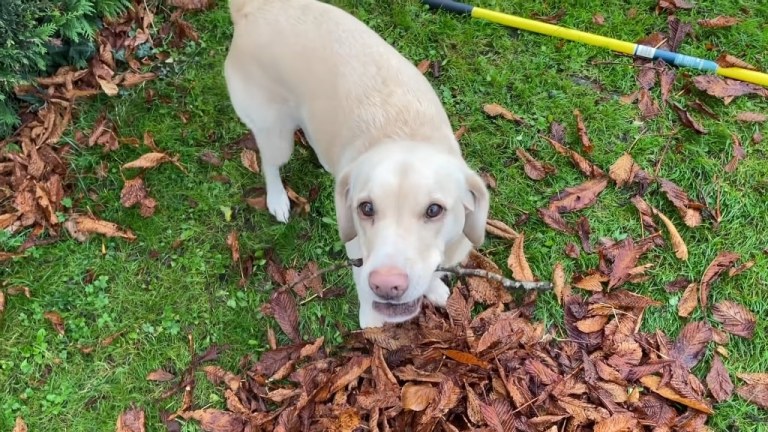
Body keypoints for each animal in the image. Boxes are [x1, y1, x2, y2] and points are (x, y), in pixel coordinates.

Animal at [222, 0, 488, 328]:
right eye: (366, 208)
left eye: (434, 210)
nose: (386, 285)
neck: (404, 134)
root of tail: (251, 8)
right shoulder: (357, 254)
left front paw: (434, 287)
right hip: (276, 134)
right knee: (269, 164)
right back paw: (277, 199)